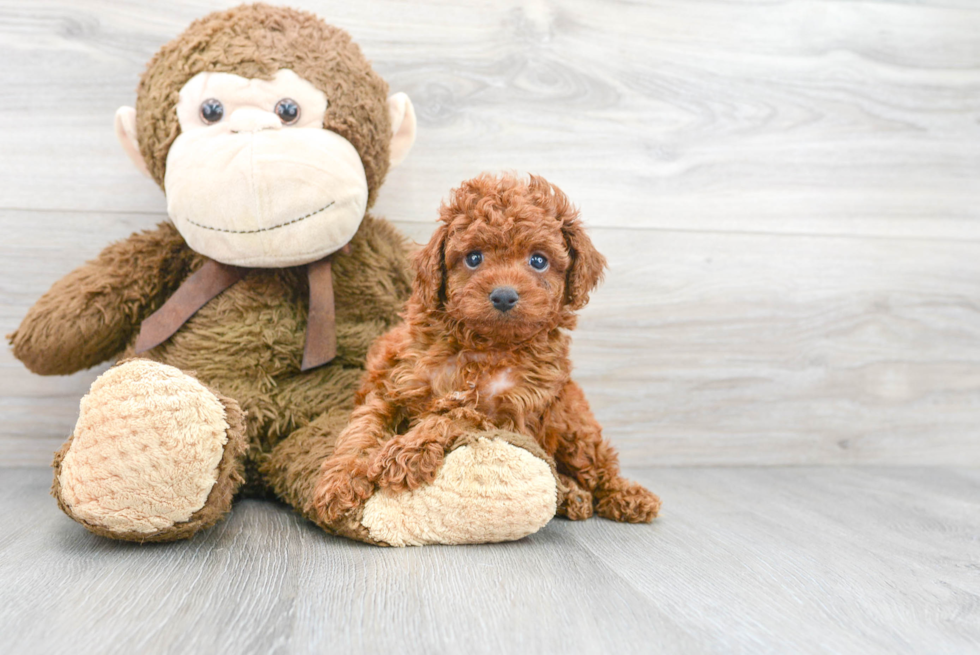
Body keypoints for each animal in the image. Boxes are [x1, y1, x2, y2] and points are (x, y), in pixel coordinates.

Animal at [318, 174, 664, 528]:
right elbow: (361, 432)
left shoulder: (511, 414)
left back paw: (625, 495)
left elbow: (456, 415)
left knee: (597, 466)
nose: (504, 296)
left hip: (574, 425)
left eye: (539, 260)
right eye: (474, 258)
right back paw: (573, 496)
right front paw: (340, 482)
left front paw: (407, 452)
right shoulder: (394, 386)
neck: (485, 346)